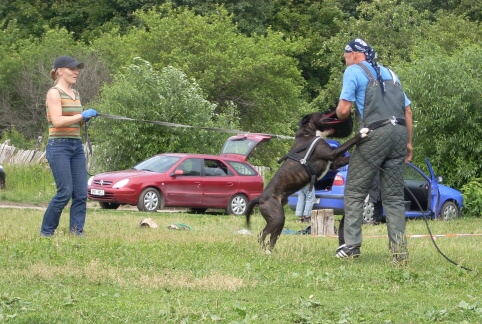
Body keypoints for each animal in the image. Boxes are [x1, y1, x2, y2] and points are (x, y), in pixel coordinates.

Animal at [247, 112, 368, 252]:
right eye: (321, 114)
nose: (335, 114)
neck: (308, 134)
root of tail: (260, 198)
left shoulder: (333, 163)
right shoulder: (332, 153)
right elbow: (349, 142)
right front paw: (362, 133)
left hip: (279, 220)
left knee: (272, 236)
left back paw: (270, 251)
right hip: (276, 218)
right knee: (263, 234)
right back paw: (263, 251)